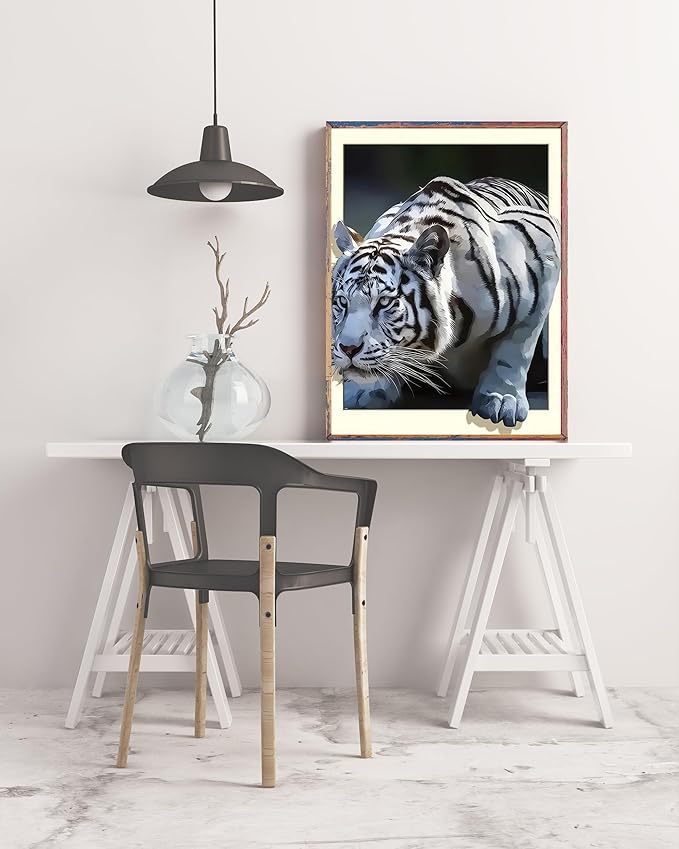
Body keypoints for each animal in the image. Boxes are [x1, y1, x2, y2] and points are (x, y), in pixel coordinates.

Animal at [330, 176, 561, 427]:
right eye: (342, 302)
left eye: (383, 303)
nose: (348, 349)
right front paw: (366, 389)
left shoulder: (544, 248)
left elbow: (516, 347)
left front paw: (500, 398)